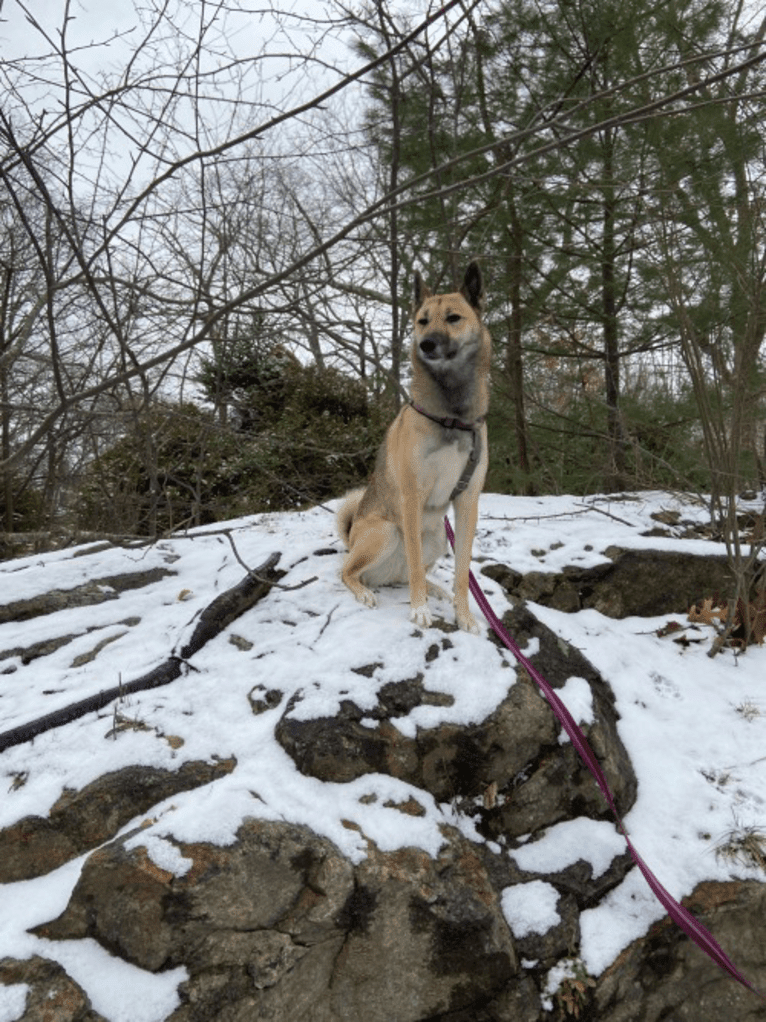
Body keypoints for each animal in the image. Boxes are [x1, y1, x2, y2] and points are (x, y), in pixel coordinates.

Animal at [334, 261, 492, 629]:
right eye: (422, 321)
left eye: (453, 318)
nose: (427, 345)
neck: (451, 416)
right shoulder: (411, 497)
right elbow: (417, 566)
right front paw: (419, 609)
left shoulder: (468, 501)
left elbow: (462, 572)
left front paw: (464, 616)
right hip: (386, 531)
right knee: (349, 572)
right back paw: (365, 592)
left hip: (436, 538)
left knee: (407, 573)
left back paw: (438, 591)